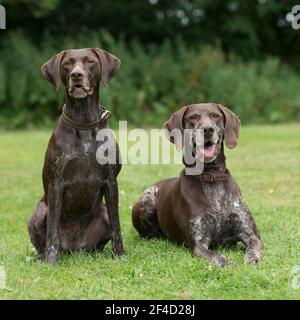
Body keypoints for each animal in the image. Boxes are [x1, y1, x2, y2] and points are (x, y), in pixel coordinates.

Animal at [28, 47, 125, 262]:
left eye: (90, 61)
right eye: (67, 64)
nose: (76, 75)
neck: (84, 123)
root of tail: (75, 248)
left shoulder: (111, 182)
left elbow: (116, 225)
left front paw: (119, 254)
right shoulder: (56, 183)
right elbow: (52, 230)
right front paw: (51, 262)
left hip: (102, 212)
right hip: (38, 212)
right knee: (43, 241)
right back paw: (42, 258)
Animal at [132, 104, 262, 266]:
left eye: (215, 116)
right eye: (193, 117)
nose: (207, 129)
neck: (210, 176)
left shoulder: (251, 234)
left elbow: (252, 249)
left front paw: (252, 260)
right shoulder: (199, 244)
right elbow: (218, 257)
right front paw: (229, 263)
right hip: (146, 200)